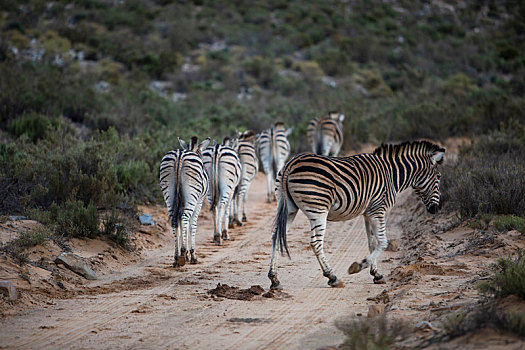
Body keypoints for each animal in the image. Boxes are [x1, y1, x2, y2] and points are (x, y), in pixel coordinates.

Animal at [159, 135, 210, 266]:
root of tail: (179, 156)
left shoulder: (182, 202)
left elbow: (182, 226)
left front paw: (185, 254)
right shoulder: (199, 202)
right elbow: (192, 225)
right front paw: (191, 254)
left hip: (169, 193)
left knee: (174, 220)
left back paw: (177, 257)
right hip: (193, 195)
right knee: (185, 218)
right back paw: (183, 254)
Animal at [268, 140, 444, 290]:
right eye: (439, 177)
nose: (436, 209)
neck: (392, 174)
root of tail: (291, 163)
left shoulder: (368, 213)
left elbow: (372, 242)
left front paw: (376, 274)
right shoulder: (379, 210)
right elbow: (383, 242)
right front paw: (358, 266)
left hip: (289, 208)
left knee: (276, 236)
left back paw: (274, 279)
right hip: (318, 209)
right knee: (316, 243)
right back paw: (332, 277)